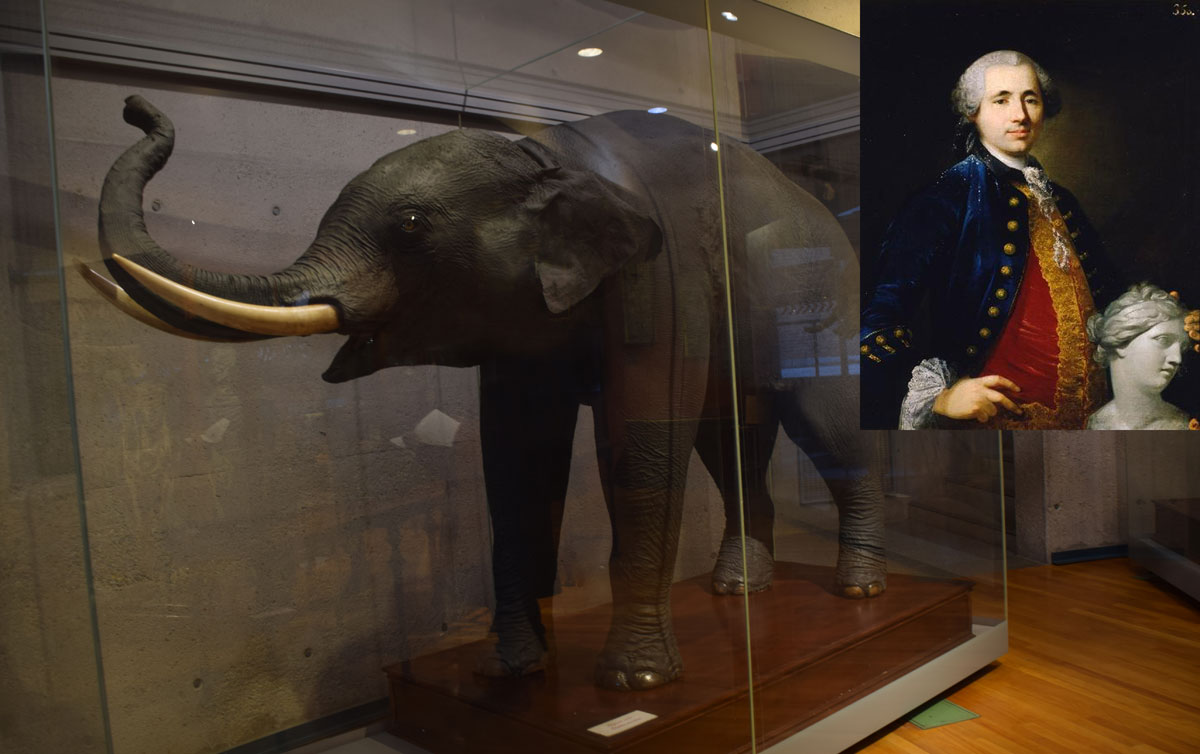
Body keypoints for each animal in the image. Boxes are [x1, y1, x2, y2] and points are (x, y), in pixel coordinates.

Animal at [87, 97, 883, 691]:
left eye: (410, 226)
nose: (133, 106)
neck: (547, 155)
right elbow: (515, 457)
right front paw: (510, 671)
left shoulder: (660, 280)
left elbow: (639, 442)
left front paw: (636, 684)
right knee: (734, 438)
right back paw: (740, 591)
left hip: (820, 293)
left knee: (827, 421)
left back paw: (861, 592)